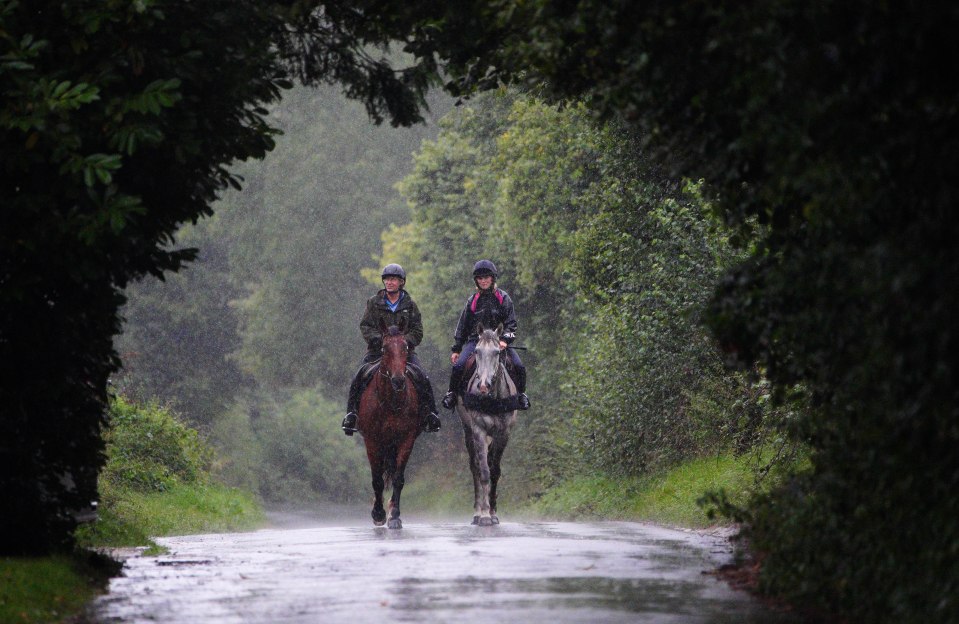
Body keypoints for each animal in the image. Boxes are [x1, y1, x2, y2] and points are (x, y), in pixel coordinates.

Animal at [358, 320, 422, 528]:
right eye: (384, 348)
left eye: (406, 347)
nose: (398, 380)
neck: (391, 402)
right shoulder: (372, 441)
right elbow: (377, 480)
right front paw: (378, 514)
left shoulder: (406, 439)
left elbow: (398, 478)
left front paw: (394, 515)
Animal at [456, 324, 516, 524]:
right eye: (476, 351)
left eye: (497, 352)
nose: (483, 385)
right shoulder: (479, 431)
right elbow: (483, 471)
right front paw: (483, 514)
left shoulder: (503, 433)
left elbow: (494, 471)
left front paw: (493, 512)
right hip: (468, 431)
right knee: (475, 466)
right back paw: (477, 512)